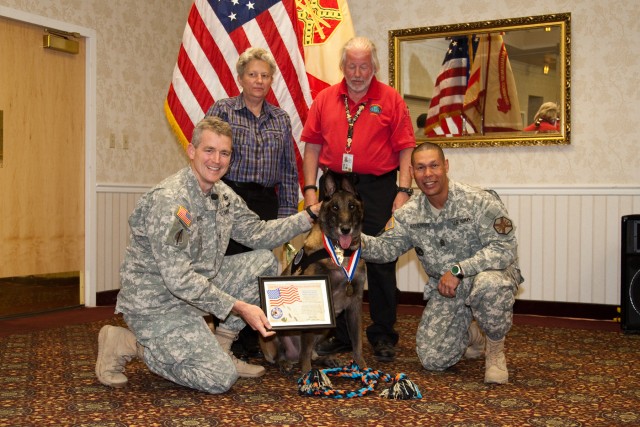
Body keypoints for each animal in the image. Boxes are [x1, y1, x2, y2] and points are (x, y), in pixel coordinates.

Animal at [262, 171, 368, 374]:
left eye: (351, 206)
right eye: (334, 207)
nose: (345, 229)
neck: (340, 253)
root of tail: (292, 354)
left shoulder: (355, 305)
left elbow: (357, 343)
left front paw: (363, 367)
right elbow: (306, 349)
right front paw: (306, 374)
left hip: (327, 328)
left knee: (312, 352)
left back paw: (327, 360)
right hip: (274, 332)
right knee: (287, 353)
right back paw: (285, 363)